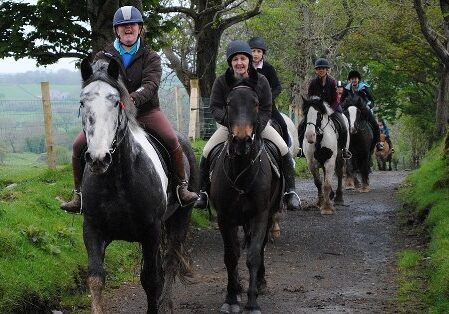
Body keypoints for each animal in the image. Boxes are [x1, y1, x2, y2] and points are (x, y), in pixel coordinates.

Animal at [78, 57, 196, 312]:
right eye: (83, 101)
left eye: (116, 102)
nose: (98, 159)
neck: (117, 181)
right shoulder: (92, 229)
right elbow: (95, 279)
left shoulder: (151, 230)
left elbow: (151, 280)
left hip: (181, 217)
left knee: (171, 261)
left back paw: (167, 304)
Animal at [209, 79, 280, 314]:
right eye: (229, 104)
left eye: (256, 104)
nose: (241, 141)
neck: (241, 171)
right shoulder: (225, 217)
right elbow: (231, 256)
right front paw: (231, 298)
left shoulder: (260, 215)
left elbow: (254, 255)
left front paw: (252, 302)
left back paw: (260, 283)